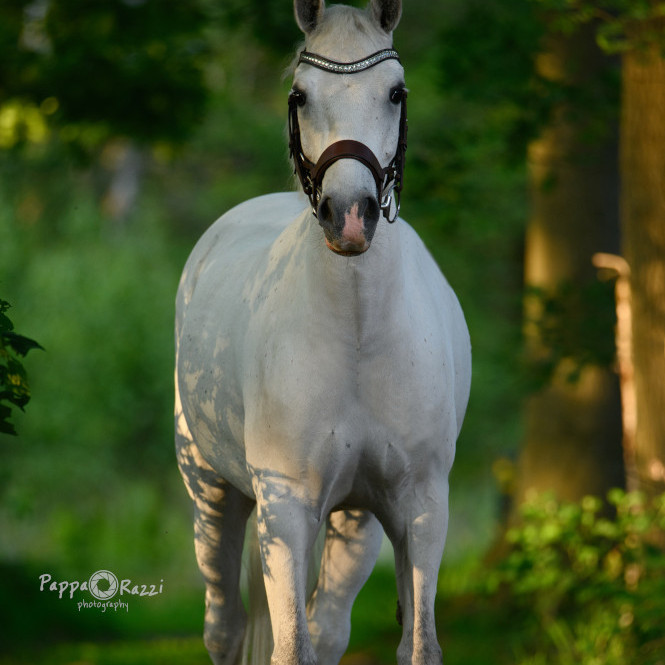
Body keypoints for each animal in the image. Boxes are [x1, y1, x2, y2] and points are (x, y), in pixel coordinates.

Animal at [175, 2, 472, 664]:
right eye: (300, 95)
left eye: (395, 92)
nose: (350, 216)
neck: (357, 340)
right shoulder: (286, 511)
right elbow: (290, 645)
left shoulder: (422, 507)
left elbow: (418, 643)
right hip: (211, 492)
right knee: (224, 627)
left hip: (354, 523)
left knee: (330, 627)